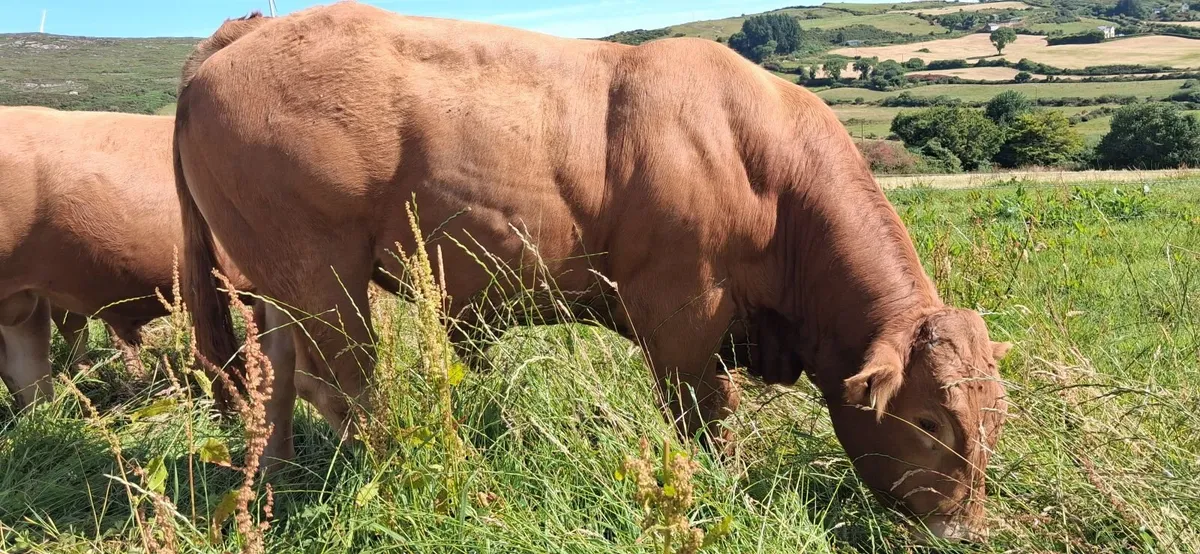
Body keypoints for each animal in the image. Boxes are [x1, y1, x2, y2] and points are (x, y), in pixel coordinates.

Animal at [174, 4, 1013, 541]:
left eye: (996, 419)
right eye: (930, 420)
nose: (964, 533)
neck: (765, 170)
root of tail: (252, 28)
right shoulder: (682, 311)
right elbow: (707, 417)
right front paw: (726, 493)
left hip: (275, 276)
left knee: (276, 376)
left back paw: (276, 478)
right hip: (320, 270)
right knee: (350, 388)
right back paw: (449, 478)